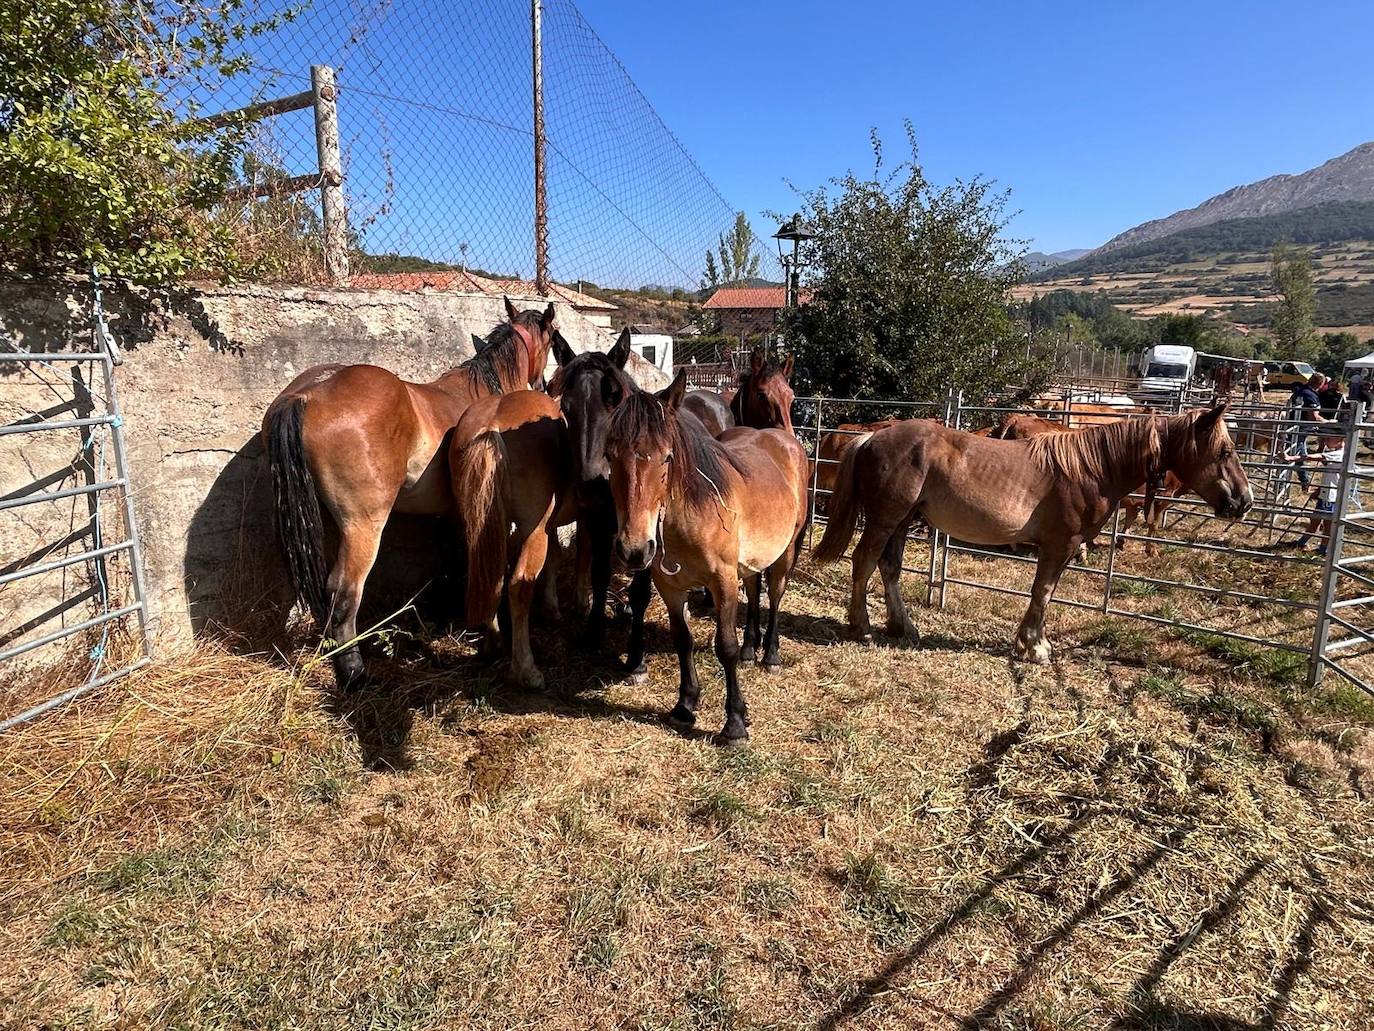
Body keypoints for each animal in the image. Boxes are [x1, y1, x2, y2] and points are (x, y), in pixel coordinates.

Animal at [263, 296, 557, 687]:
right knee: (344, 591)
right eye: (551, 340)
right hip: (363, 526)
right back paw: (354, 671)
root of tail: (305, 395)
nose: (542, 384)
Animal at [813, 404, 1258, 662]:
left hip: (903, 520)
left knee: (888, 567)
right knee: (864, 562)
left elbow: (1045, 592)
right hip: (886, 519)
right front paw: (1035, 647)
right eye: (1225, 451)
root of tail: (870, 436)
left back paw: (902, 628)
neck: (1092, 468)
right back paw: (862, 627)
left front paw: (1030, 642)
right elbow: (1043, 592)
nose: (1244, 501)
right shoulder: (1061, 544)